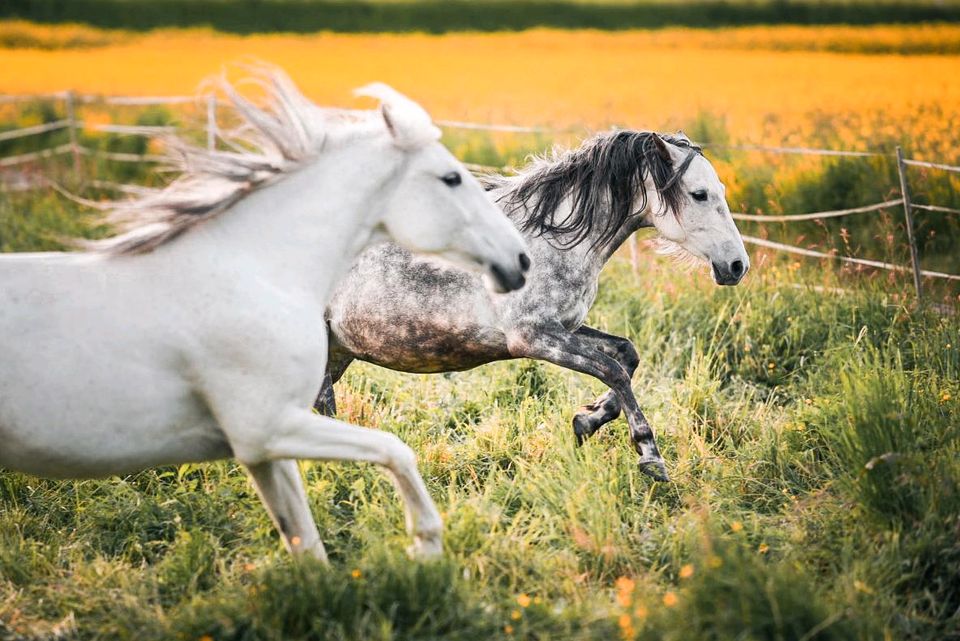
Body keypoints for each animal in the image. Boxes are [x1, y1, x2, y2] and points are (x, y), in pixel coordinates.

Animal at [0, 70, 528, 556]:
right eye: (451, 177)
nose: (520, 260)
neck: (254, 265)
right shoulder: (266, 428)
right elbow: (393, 449)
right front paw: (425, 543)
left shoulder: (264, 446)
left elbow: (305, 539)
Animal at [320, 131, 752, 480]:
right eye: (699, 194)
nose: (737, 266)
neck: (546, 242)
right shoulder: (534, 337)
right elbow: (612, 370)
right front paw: (649, 456)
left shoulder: (567, 327)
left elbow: (626, 355)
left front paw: (586, 421)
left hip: (338, 352)